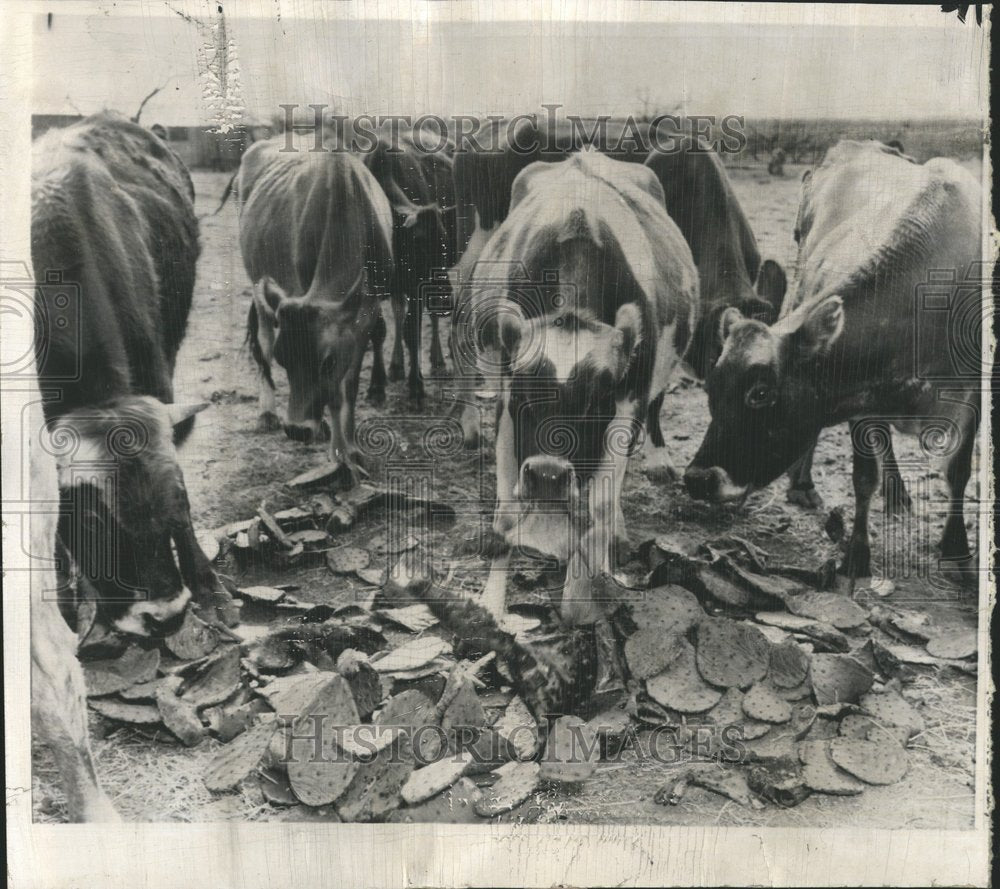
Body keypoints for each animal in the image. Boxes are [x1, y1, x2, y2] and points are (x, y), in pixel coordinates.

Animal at [240, 136, 392, 482]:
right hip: (257, 284)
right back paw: (267, 410)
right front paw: (338, 455)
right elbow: (333, 396)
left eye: (327, 361)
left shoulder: (365, 315)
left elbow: (347, 386)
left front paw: (352, 450)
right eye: (284, 359)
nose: (297, 429)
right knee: (262, 343)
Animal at [364, 128, 460, 406]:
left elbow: (413, 331)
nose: (445, 299)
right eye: (418, 243)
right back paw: (396, 366)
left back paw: (438, 359)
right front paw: (377, 385)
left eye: (445, 243)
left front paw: (416, 385)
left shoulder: (418, 286)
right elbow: (379, 330)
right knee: (398, 311)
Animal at [458, 149, 700, 624]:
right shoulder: (504, 402)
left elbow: (600, 504)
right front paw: (492, 604)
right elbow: (506, 511)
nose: (549, 475)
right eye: (525, 398)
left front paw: (584, 593)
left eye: (598, 399)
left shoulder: (628, 402)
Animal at [688, 141, 984, 580]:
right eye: (711, 389)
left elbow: (958, 472)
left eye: (760, 393)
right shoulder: (859, 393)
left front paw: (956, 551)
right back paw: (804, 484)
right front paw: (857, 555)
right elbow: (863, 477)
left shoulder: (974, 392)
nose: (697, 479)